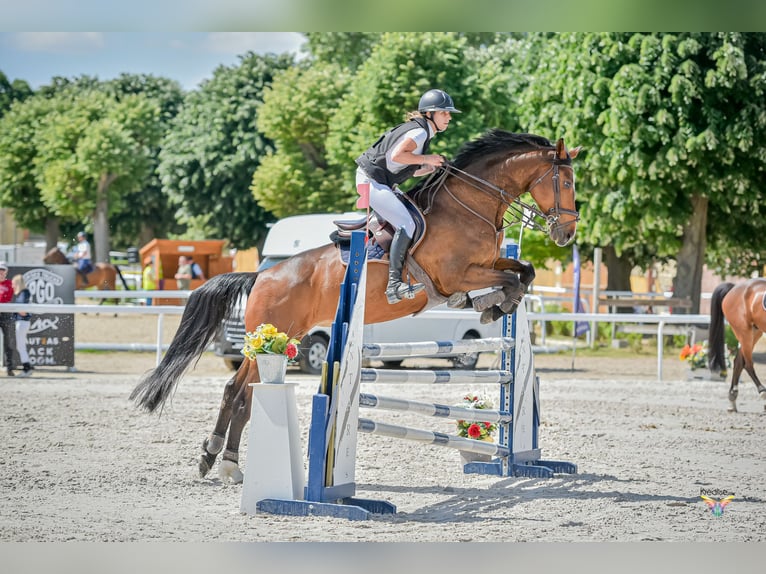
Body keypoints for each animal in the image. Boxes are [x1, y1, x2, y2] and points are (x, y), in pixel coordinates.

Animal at [130, 129, 584, 482]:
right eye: (565, 182)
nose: (565, 234)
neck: (470, 205)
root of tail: (263, 276)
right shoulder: (458, 274)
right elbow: (510, 280)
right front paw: (495, 305)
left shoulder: (488, 264)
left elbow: (523, 271)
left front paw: (495, 306)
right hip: (275, 339)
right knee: (240, 392)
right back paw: (220, 462)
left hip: (280, 336)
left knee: (238, 391)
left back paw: (219, 460)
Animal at [708, 280, 766, 414]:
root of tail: (734, 287)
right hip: (744, 331)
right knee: (747, 364)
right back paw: (762, 392)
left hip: (755, 332)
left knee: (739, 361)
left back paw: (732, 400)